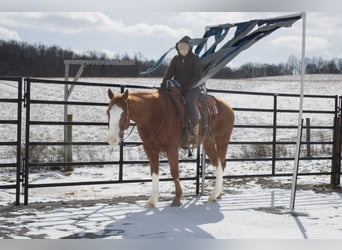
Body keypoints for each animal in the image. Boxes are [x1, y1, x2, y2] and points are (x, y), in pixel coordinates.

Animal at [107, 87, 235, 208]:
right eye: (108, 112)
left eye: (123, 113)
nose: (112, 139)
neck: (155, 113)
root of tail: (228, 106)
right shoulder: (150, 149)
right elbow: (154, 172)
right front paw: (152, 201)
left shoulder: (171, 148)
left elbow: (174, 172)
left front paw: (177, 199)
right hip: (208, 142)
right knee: (218, 163)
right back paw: (218, 193)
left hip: (222, 140)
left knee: (221, 164)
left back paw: (214, 195)